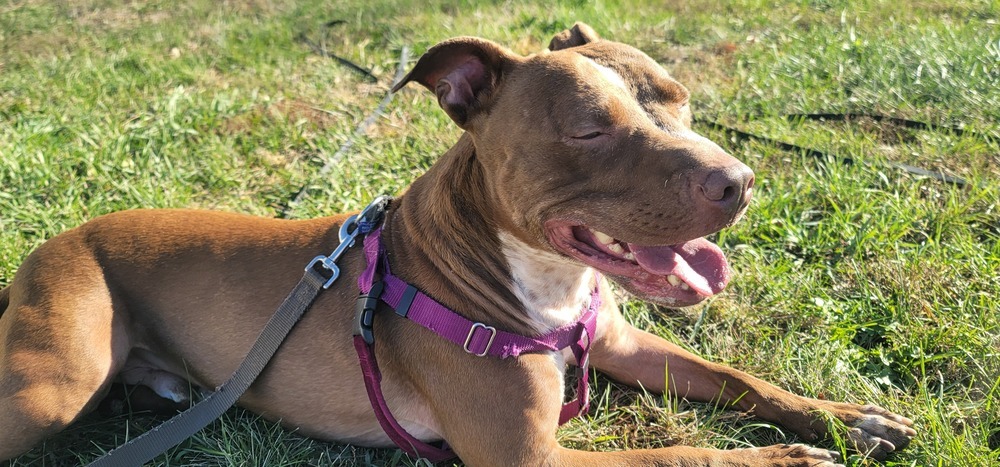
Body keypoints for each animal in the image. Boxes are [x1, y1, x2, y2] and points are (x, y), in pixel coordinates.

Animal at [1, 23, 916, 466]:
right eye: (590, 128)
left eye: (679, 97)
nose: (740, 179)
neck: (543, 278)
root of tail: (46, 248)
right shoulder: (531, 457)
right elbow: (681, 458)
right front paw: (789, 459)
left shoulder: (623, 341)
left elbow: (735, 376)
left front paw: (851, 417)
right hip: (54, 382)